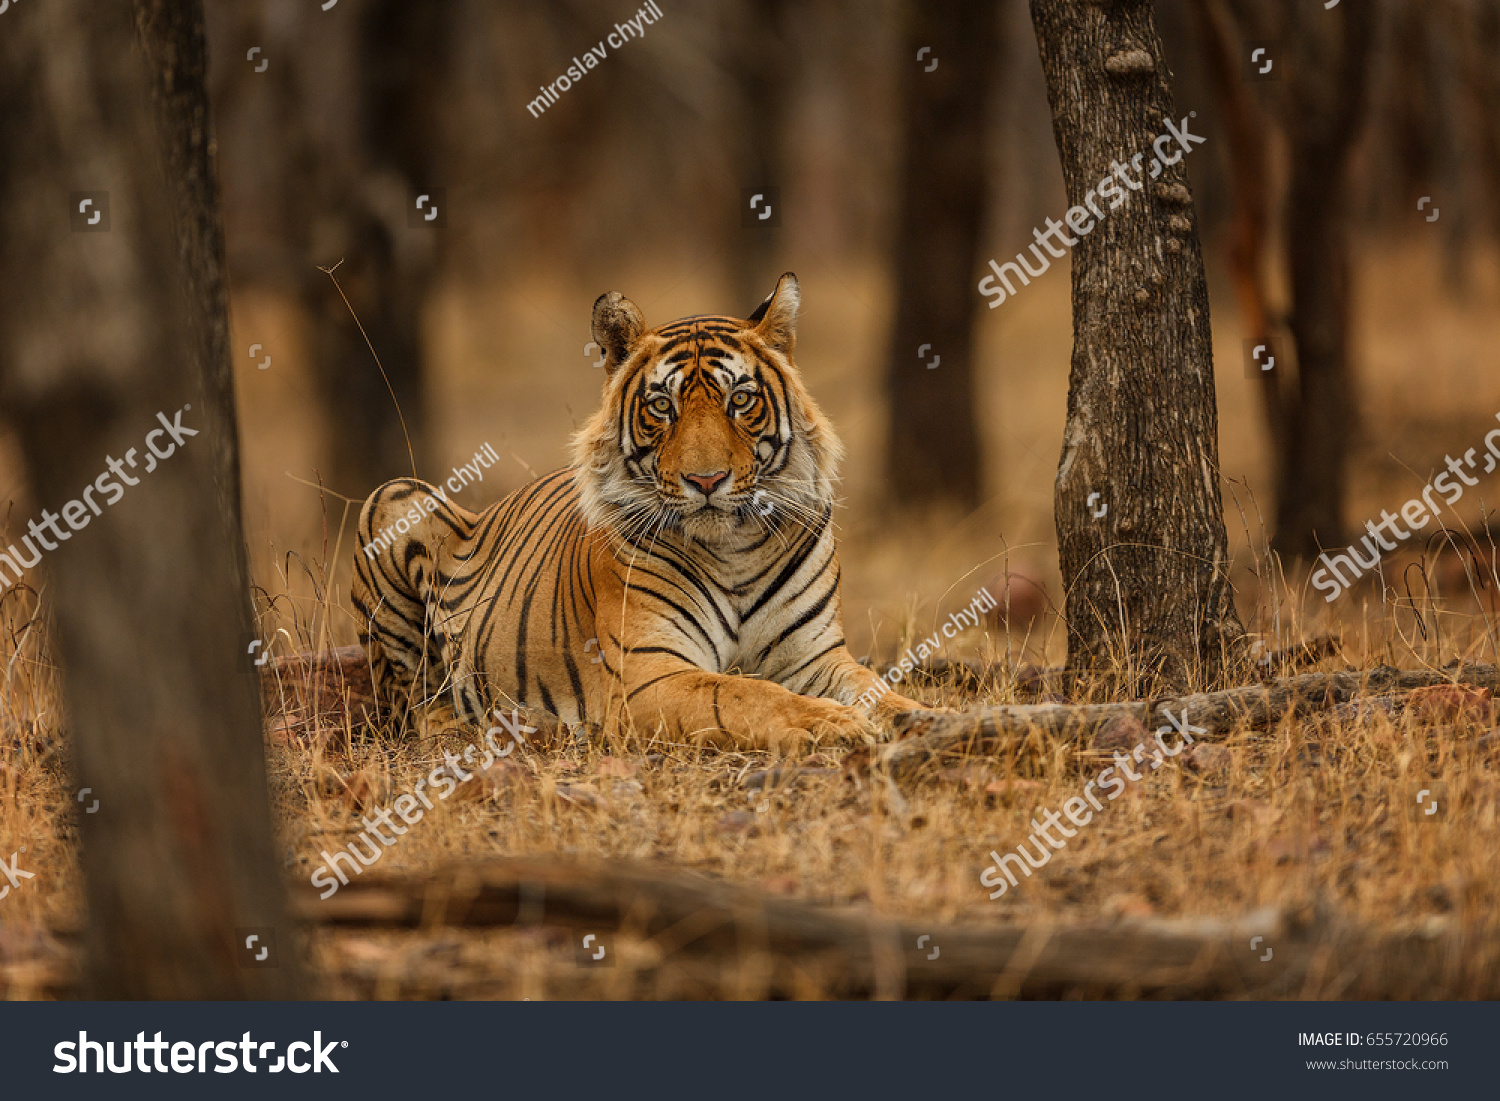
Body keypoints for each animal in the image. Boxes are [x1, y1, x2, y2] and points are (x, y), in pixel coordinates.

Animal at [351, 272, 925, 751]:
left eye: (740, 400)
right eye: (662, 407)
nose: (706, 481)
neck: (734, 548)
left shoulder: (815, 656)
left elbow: (879, 690)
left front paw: (922, 718)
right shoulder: (650, 673)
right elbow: (744, 695)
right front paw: (834, 722)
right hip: (392, 497)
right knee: (415, 705)